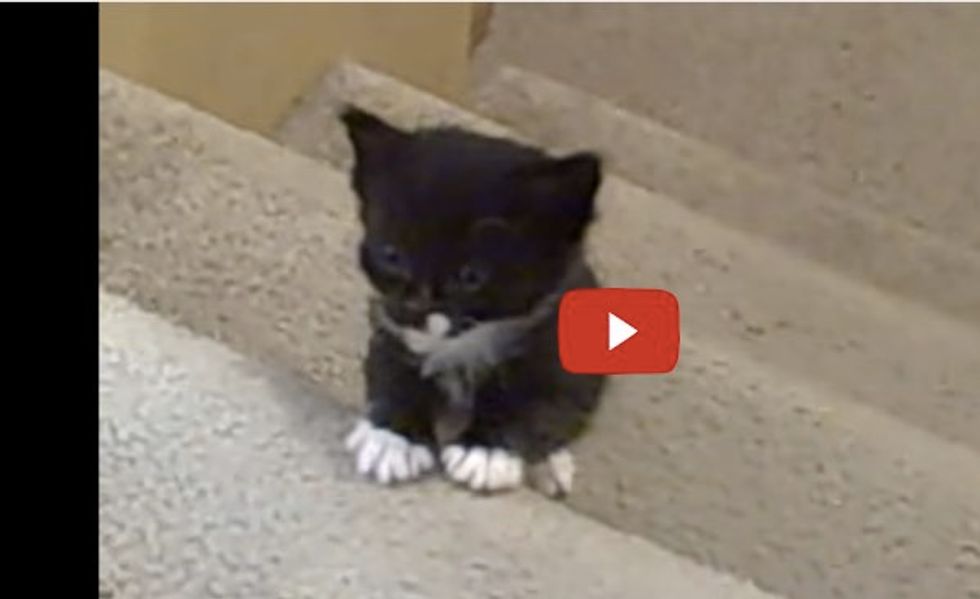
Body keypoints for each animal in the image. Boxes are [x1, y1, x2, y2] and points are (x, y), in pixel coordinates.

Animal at [342, 106, 604, 496]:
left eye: (471, 277)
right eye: (392, 256)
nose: (415, 308)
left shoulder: (561, 353)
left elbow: (541, 405)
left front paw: (486, 452)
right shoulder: (388, 325)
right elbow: (390, 368)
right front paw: (393, 438)